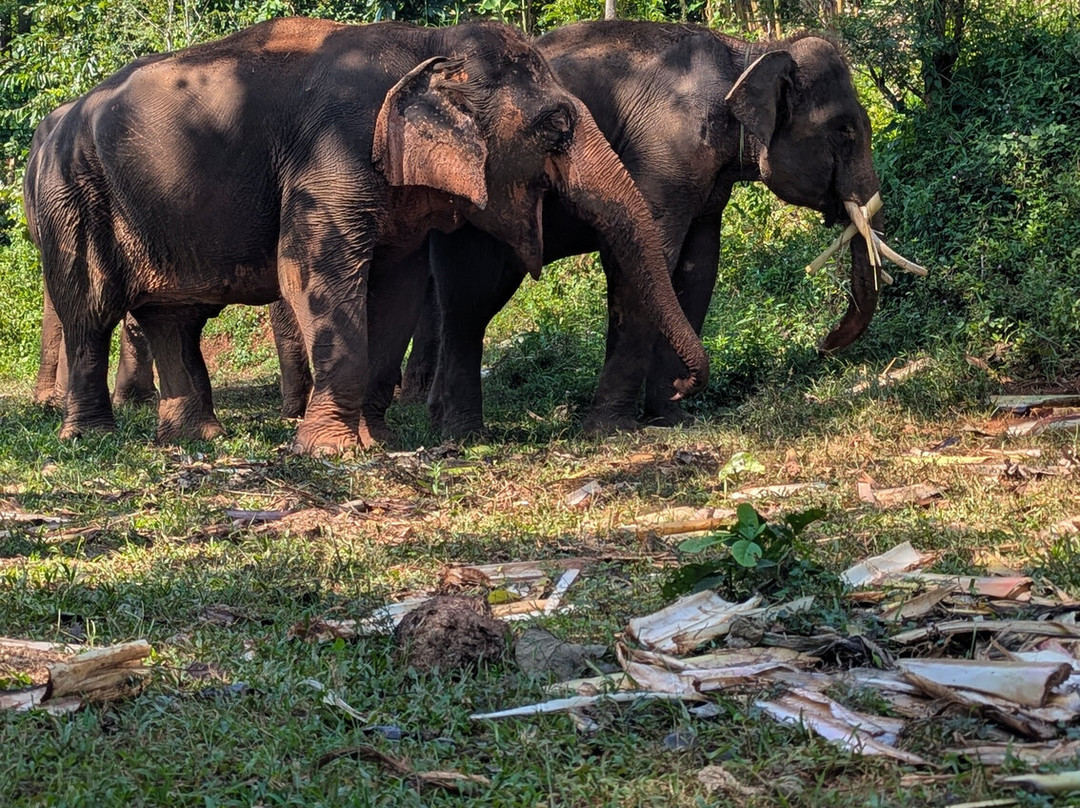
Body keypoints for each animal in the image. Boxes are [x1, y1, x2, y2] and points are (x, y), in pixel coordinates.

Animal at [24, 17, 708, 453]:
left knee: (176, 318)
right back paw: (90, 436)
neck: (425, 46)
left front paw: (376, 440)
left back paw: (197, 439)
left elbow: (398, 287)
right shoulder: (333, 156)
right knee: (90, 309)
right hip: (71, 194)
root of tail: (53, 124)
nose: (682, 387)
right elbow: (310, 270)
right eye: (556, 129)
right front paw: (330, 450)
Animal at [409, 20, 908, 438]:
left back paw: (433, 418)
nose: (823, 346)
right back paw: (462, 435)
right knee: (468, 301)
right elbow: (643, 263)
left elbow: (698, 269)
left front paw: (672, 417)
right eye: (845, 131)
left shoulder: (707, 182)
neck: (745, 55)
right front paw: (611, 429)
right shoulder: (663, 156)